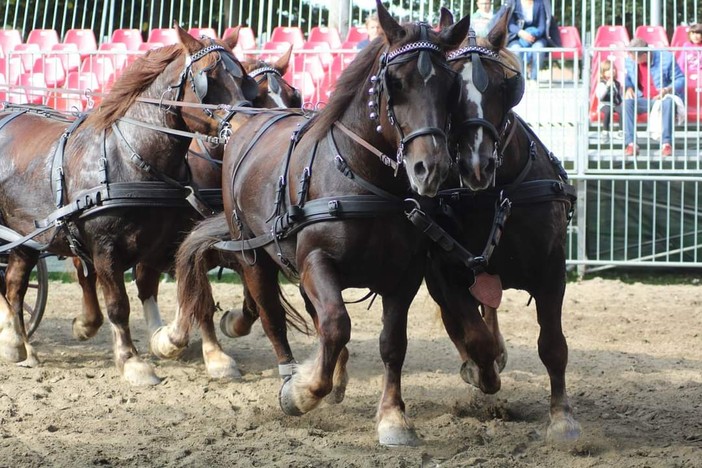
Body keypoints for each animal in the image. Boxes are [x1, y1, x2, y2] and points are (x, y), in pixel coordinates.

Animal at [0, 24, 258, 384]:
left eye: (243, 78)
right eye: (209, 78)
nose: (246, 126)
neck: (133, 158)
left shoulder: (167, 243)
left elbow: (180, 291)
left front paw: (178, 345)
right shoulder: (105, 248)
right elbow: (119, 304)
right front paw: (132, 361)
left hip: (27, 239)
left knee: (14, 285)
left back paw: (21, 345)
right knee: (14, 287)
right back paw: (16, 342)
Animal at [151, 0, 476, 446]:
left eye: (451, 87)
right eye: (394, 82)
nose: (431, 168)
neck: (363, 178)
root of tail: (245, 125)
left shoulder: (404, 275)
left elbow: (392, 343)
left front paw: (393, 417)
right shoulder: (316, 261)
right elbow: (336, 324)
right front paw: (303, 392)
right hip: (255, 255)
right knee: (273, 317)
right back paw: (289, 375)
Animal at [424, 11, 584, 442]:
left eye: (504, 85)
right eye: (449, 90)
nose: (475, 164)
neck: (489, 196)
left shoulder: (552, 267)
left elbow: (553, 345)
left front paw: (562, 418)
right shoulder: (444, 272)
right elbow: (475, 336)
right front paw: (484, 371)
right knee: (460, 322)